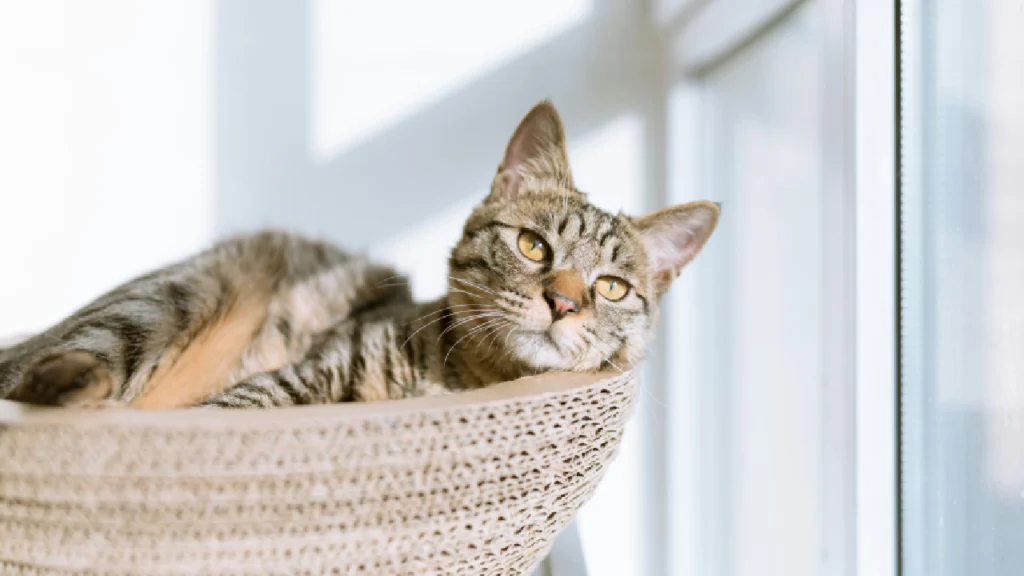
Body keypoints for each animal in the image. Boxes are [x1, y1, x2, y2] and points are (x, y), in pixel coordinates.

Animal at [0, 103, 720, 407]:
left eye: (614, 287)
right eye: (532, 245)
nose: (565, 302)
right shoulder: (291, 378)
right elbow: (237, 408)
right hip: (169, 300)